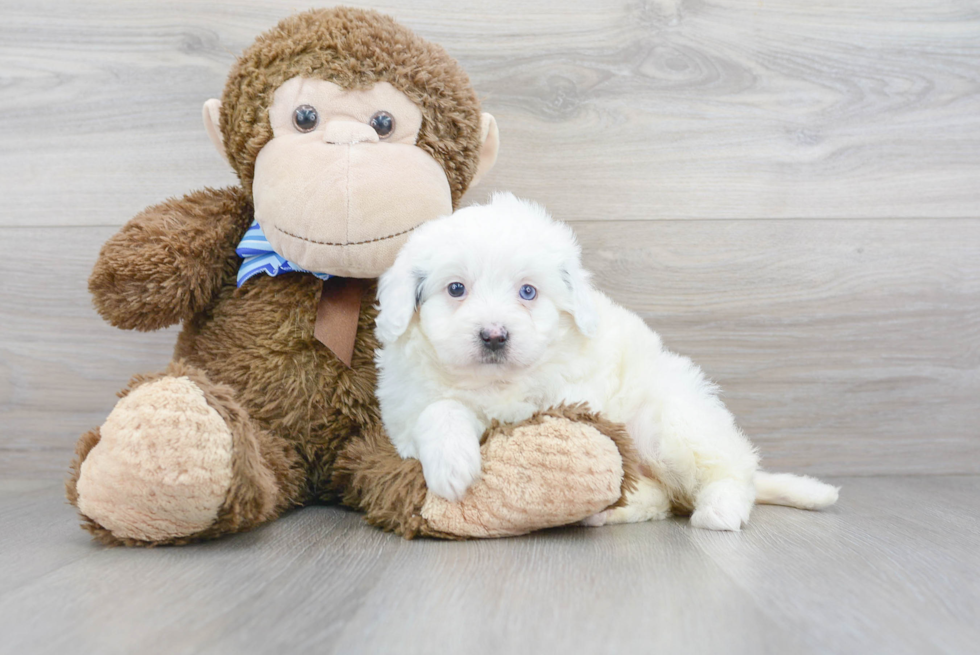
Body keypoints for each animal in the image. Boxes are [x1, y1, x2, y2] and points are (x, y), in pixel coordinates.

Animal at [372, 192, 840, 532]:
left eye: (528, 292)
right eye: (456, 289)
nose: (494, 336)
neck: (494, 382)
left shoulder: (559, 398)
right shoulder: (407, 411)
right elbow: (441, 408)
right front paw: (452, 462)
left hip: (671, 423)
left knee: (730, 471)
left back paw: (719, 511)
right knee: (658, 496)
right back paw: (605, 511)